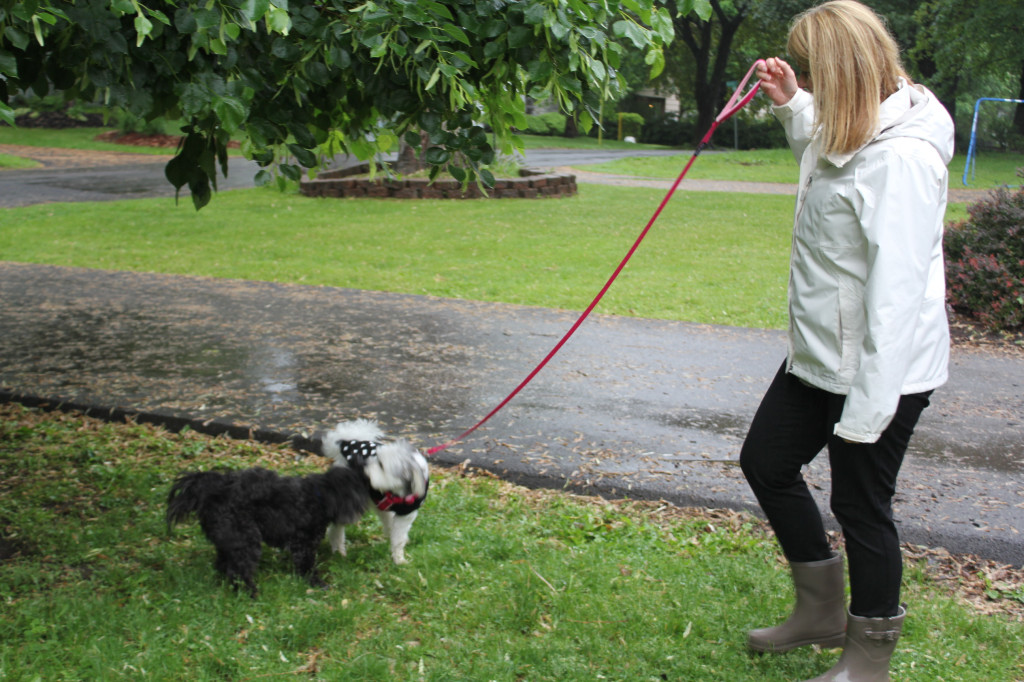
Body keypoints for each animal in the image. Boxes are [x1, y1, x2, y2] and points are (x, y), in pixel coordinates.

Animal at [163, 464, 364, 593]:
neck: (318, 497)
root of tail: (212, 491)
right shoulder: (303, 544)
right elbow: (306, 565)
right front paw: (316, 582)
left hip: (230, 538)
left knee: (224, 563)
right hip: (245, 539)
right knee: (239, 570)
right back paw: (250, 592)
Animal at [321, 419, 430, 561]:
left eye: (381, 465)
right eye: (375, 457)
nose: (362, 467)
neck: (396, 492)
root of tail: (349, 441)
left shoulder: (405, 514)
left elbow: (397, 536)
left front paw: (398, 557)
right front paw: (399, 559)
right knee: (336, 528)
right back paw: (338, 550)